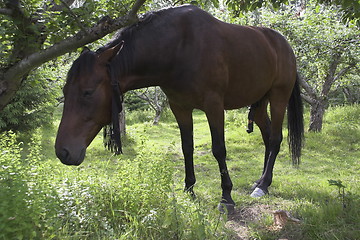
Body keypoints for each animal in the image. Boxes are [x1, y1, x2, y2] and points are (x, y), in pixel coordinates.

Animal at [55, 4, 304, 213]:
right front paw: (189, 190)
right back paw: (262, 181)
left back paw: (263, 185)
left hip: (278, 96)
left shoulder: (214, 106)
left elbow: (219, 150)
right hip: (260, 102)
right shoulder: (180, 108)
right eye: (65, 91)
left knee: (275, 139)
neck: (179, 47)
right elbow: (187, 148)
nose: (63, 151)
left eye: (87, 92)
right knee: (267, 136)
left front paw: (226, 198)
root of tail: (284, 44)